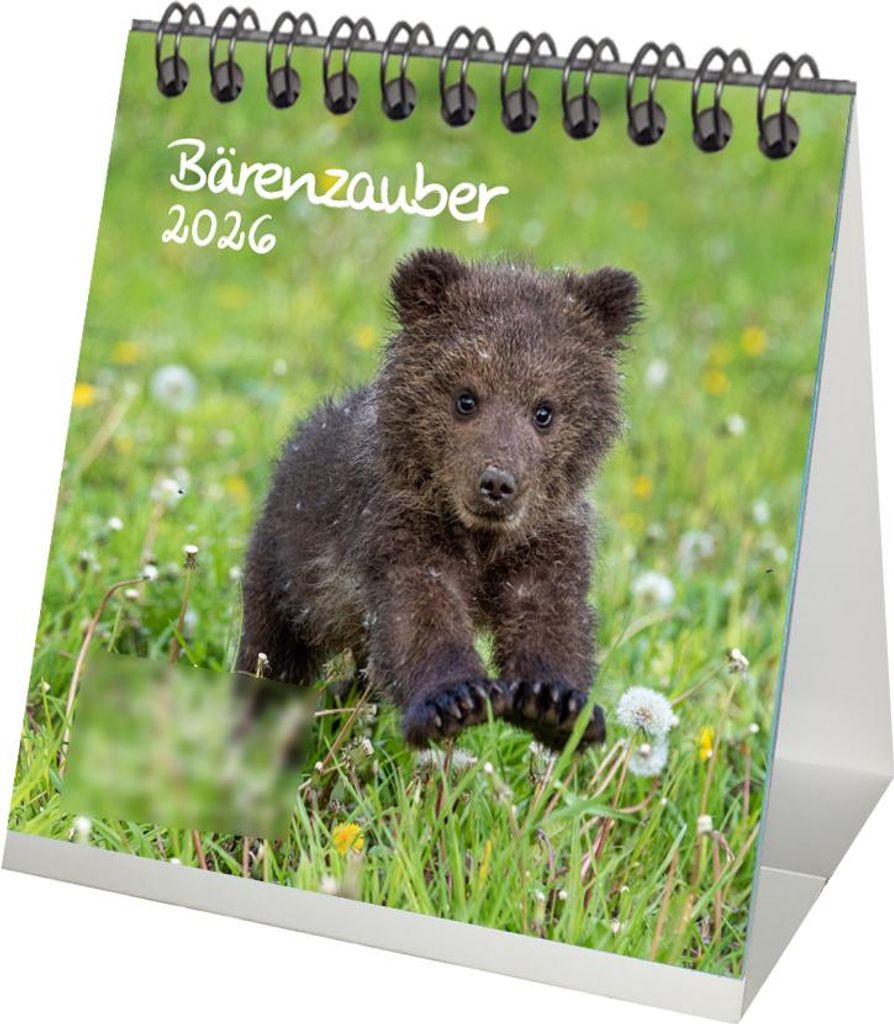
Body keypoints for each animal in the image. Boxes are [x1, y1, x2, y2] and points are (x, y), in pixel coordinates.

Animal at [238, 248, 640, 749]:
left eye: (544, 410)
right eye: (466, 398)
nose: (497, 483)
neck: (483, 539)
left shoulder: (547, 539)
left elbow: (551, 618)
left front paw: (556, 706)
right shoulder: (401, 528)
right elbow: (421, 612)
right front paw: (455, 700)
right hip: (288, 572)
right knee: (272, 652)